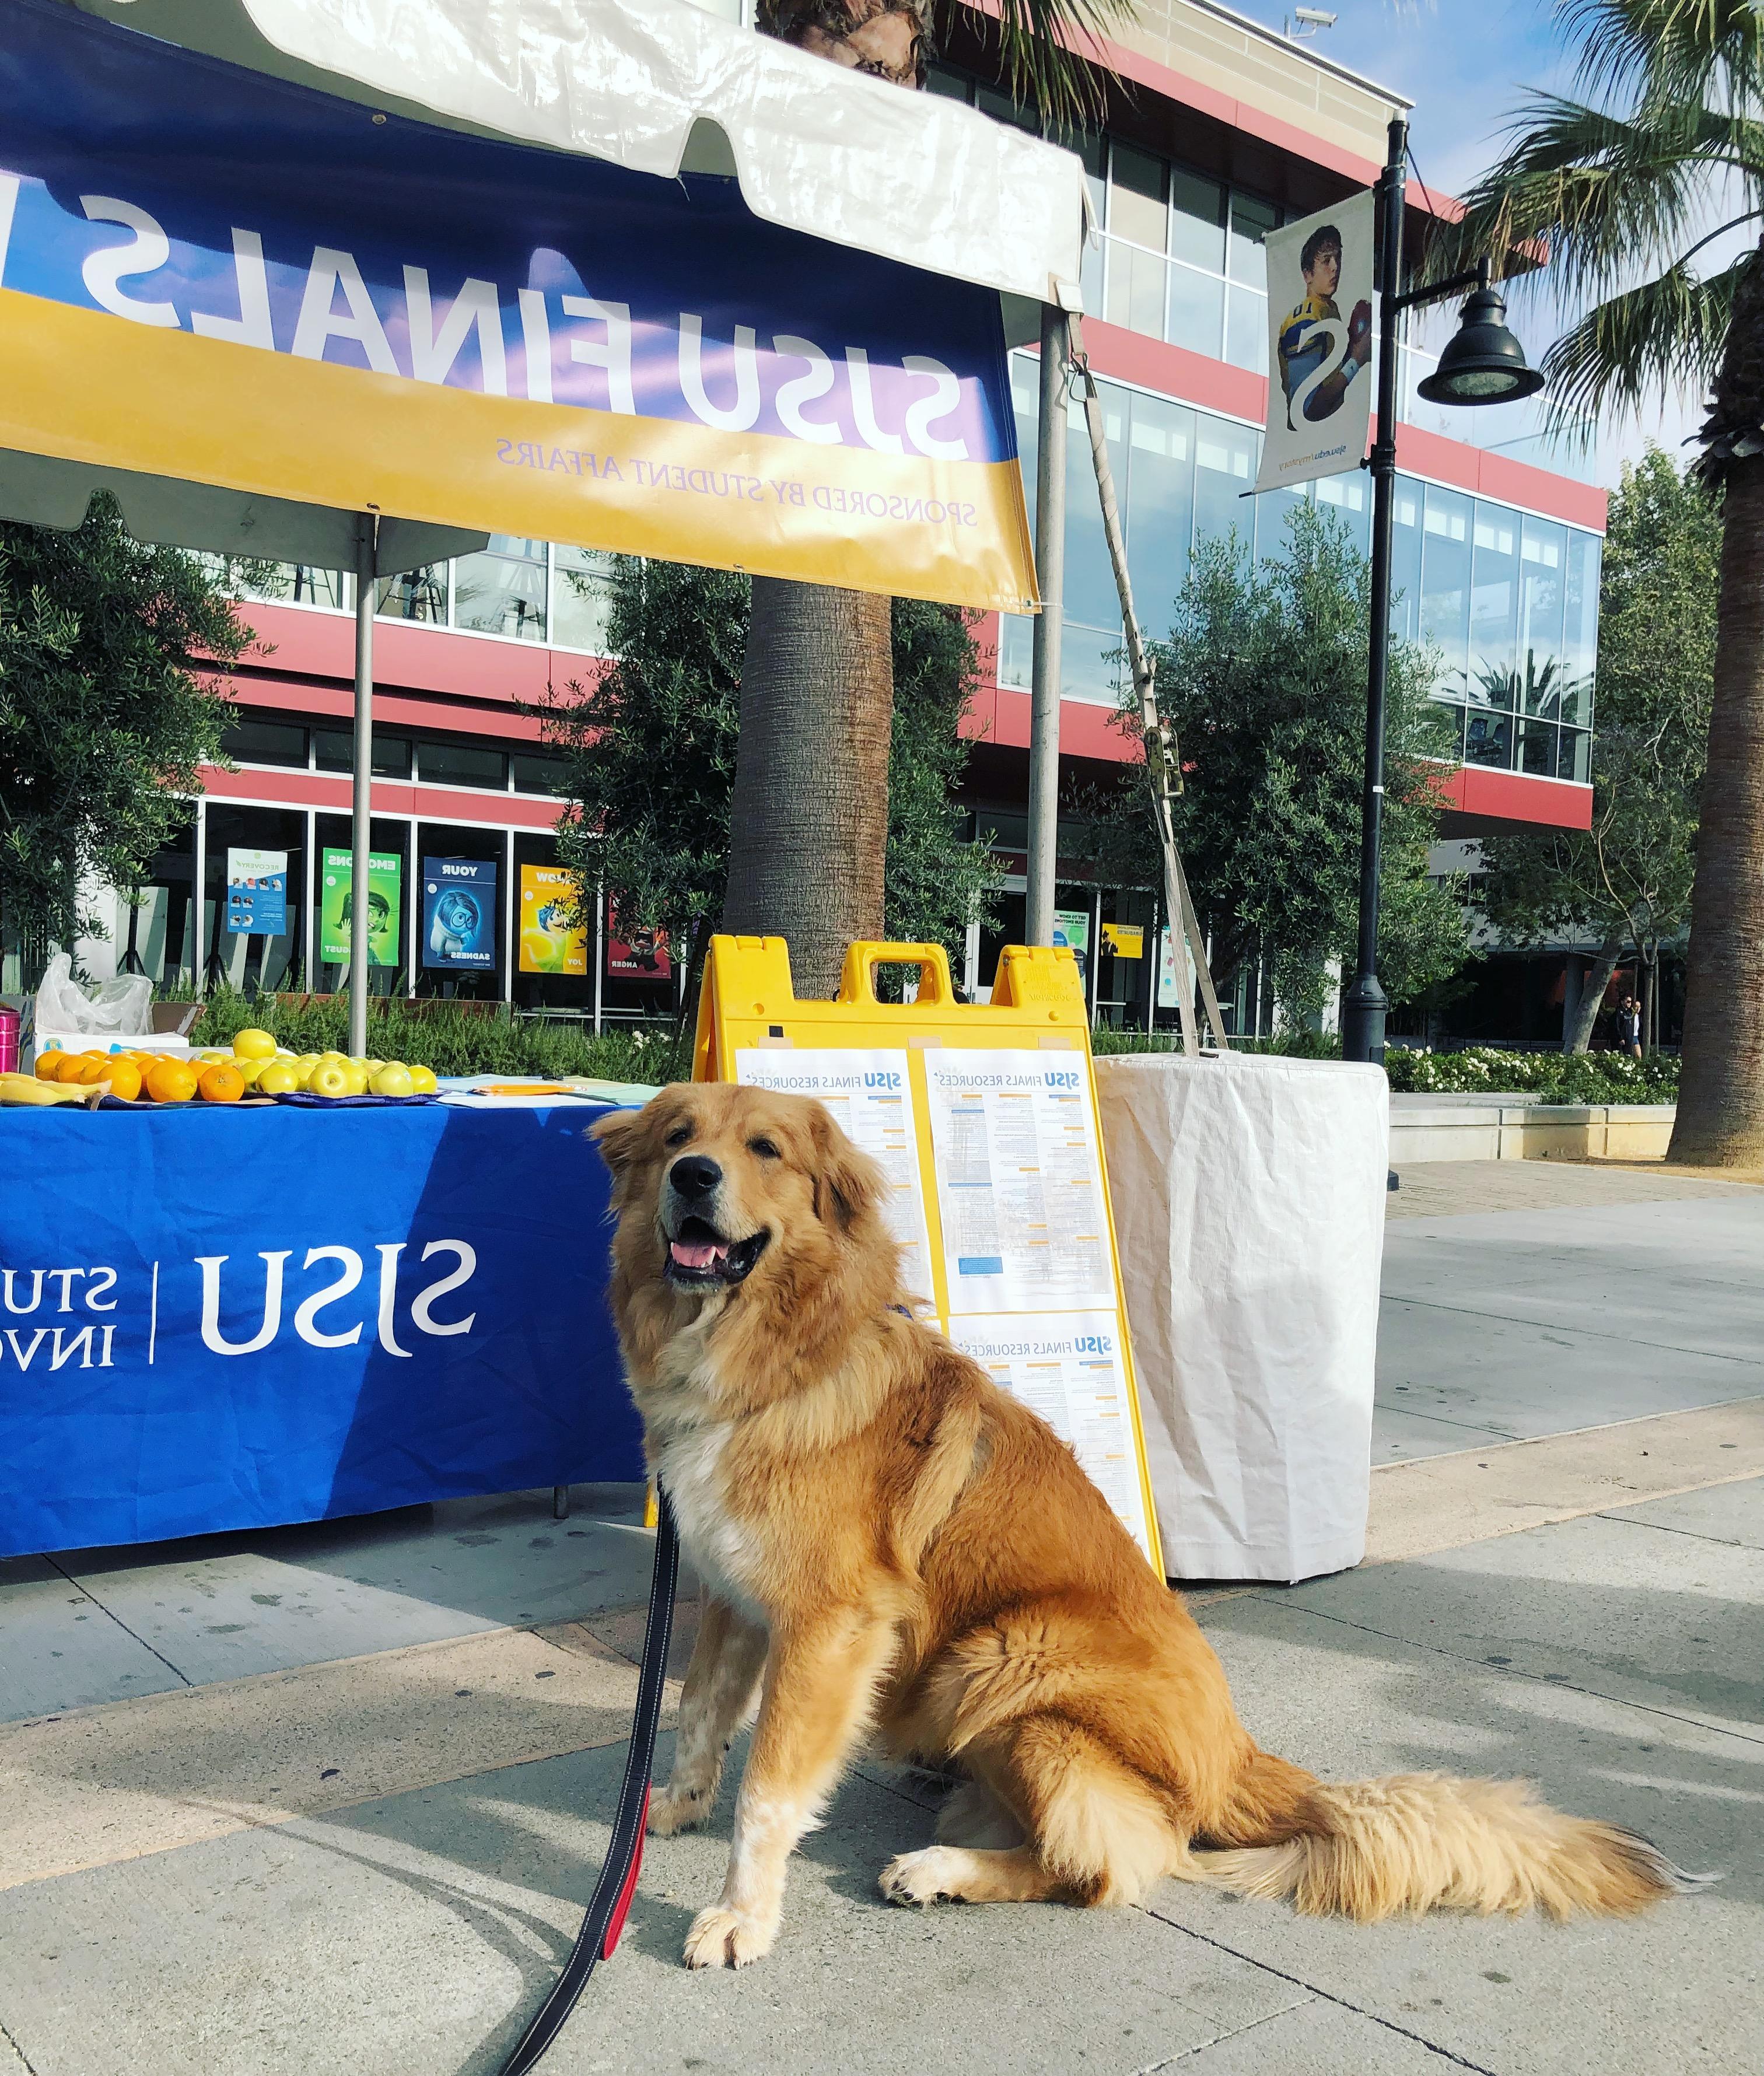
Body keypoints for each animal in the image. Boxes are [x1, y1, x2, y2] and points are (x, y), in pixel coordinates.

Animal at [589, 1079, 1693, 1968]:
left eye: (765, 1148)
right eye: (679, 1133)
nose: (693, 1175)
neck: (779, 1356)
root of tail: (1241, 1761)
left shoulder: (831, 1623)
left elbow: (770, 1789)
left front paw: (741, 1914)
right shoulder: (734, 1593)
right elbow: (699, 1715)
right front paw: (665, 1813)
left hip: (1007, 1660)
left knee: (1110, 1862)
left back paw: (944, 1864)